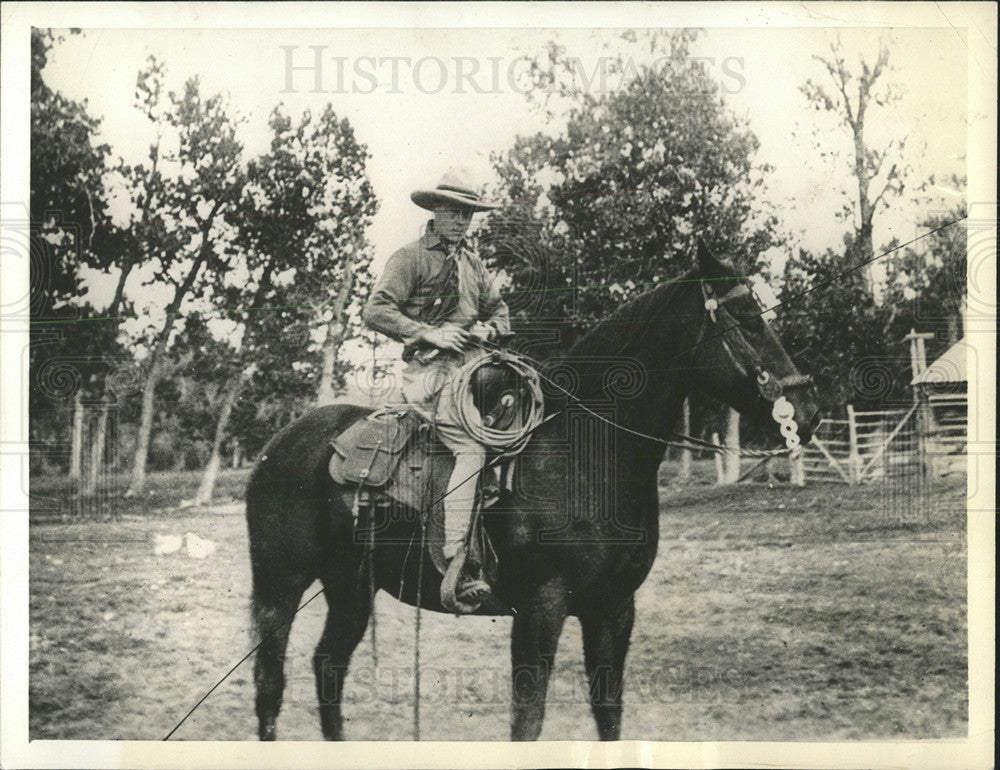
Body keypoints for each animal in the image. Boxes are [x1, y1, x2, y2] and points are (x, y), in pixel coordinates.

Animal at [246, 246, 816, 736]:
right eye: (747, 318)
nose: (805, 412)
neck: (586, 457)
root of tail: (278, 446)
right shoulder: (542, 607)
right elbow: (528, 720)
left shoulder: (614, 606)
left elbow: (608, 713)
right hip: (281, 584)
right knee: (270, 685)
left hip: (350, 587)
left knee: (328, 668)